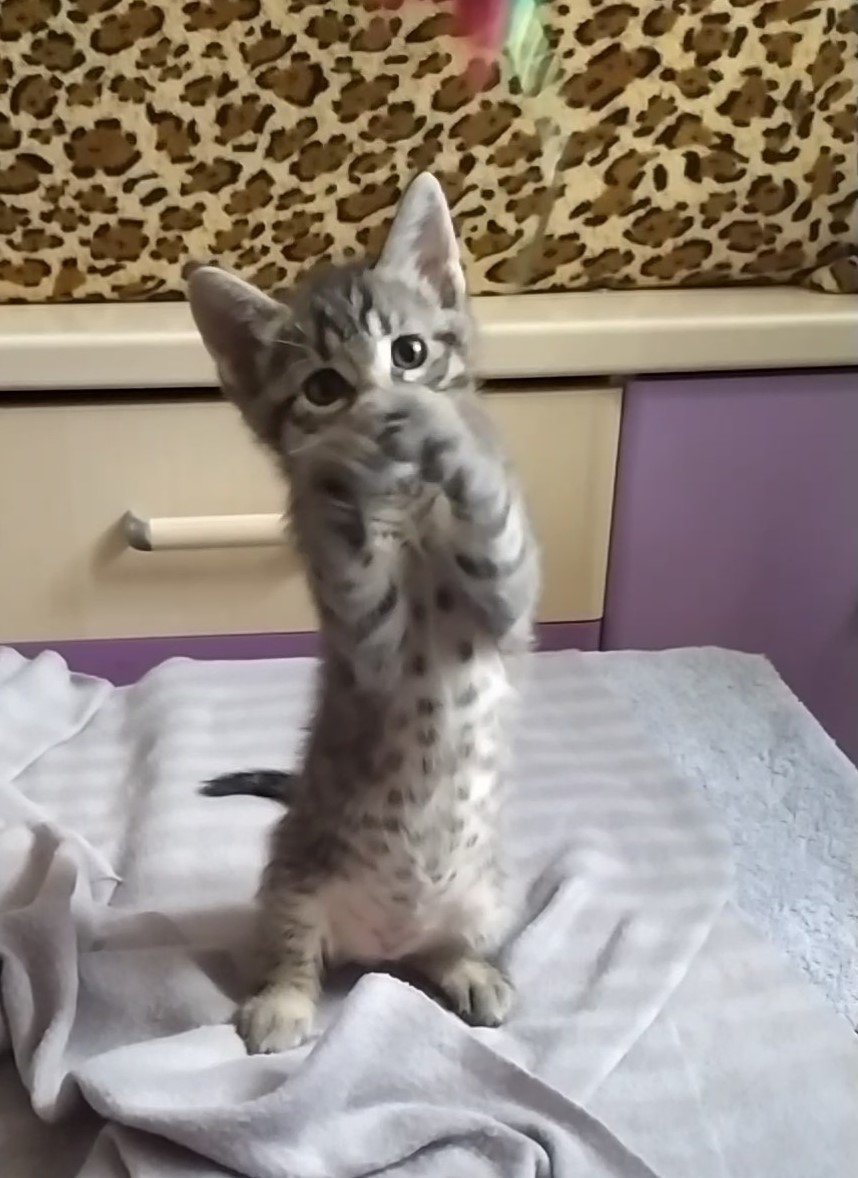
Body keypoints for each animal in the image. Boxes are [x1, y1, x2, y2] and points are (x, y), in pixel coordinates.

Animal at [186, 172, 540, 1054]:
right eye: (323, 386)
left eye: (408, 352)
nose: (382, 406)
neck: (409, 511)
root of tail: (385, 948)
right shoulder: (368, 638)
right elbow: (353, 560)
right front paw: (340, 473)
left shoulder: (506, 602)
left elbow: (493, 528)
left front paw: (450, 434)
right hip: (292, 877)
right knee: (293, 954)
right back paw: (282, 1004)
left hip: (488, 893)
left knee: (448, 949)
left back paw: (473, 970)